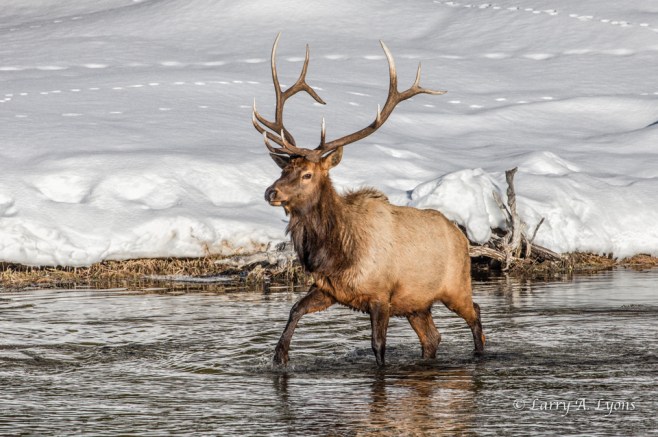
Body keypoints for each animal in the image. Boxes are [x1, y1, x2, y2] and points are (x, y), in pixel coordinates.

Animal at [253, 34, 485, 367]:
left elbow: (378, 346)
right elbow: (294, 309)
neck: (334, 252)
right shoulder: (329, 289)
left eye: (307, 174)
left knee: (475, 314)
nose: (271, 192)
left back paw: (479, 356)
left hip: (455, 285)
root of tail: (460, 234)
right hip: (416, 302)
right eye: (284, 169)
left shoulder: (380, 295)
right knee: (432, 338)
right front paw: (279, 355)